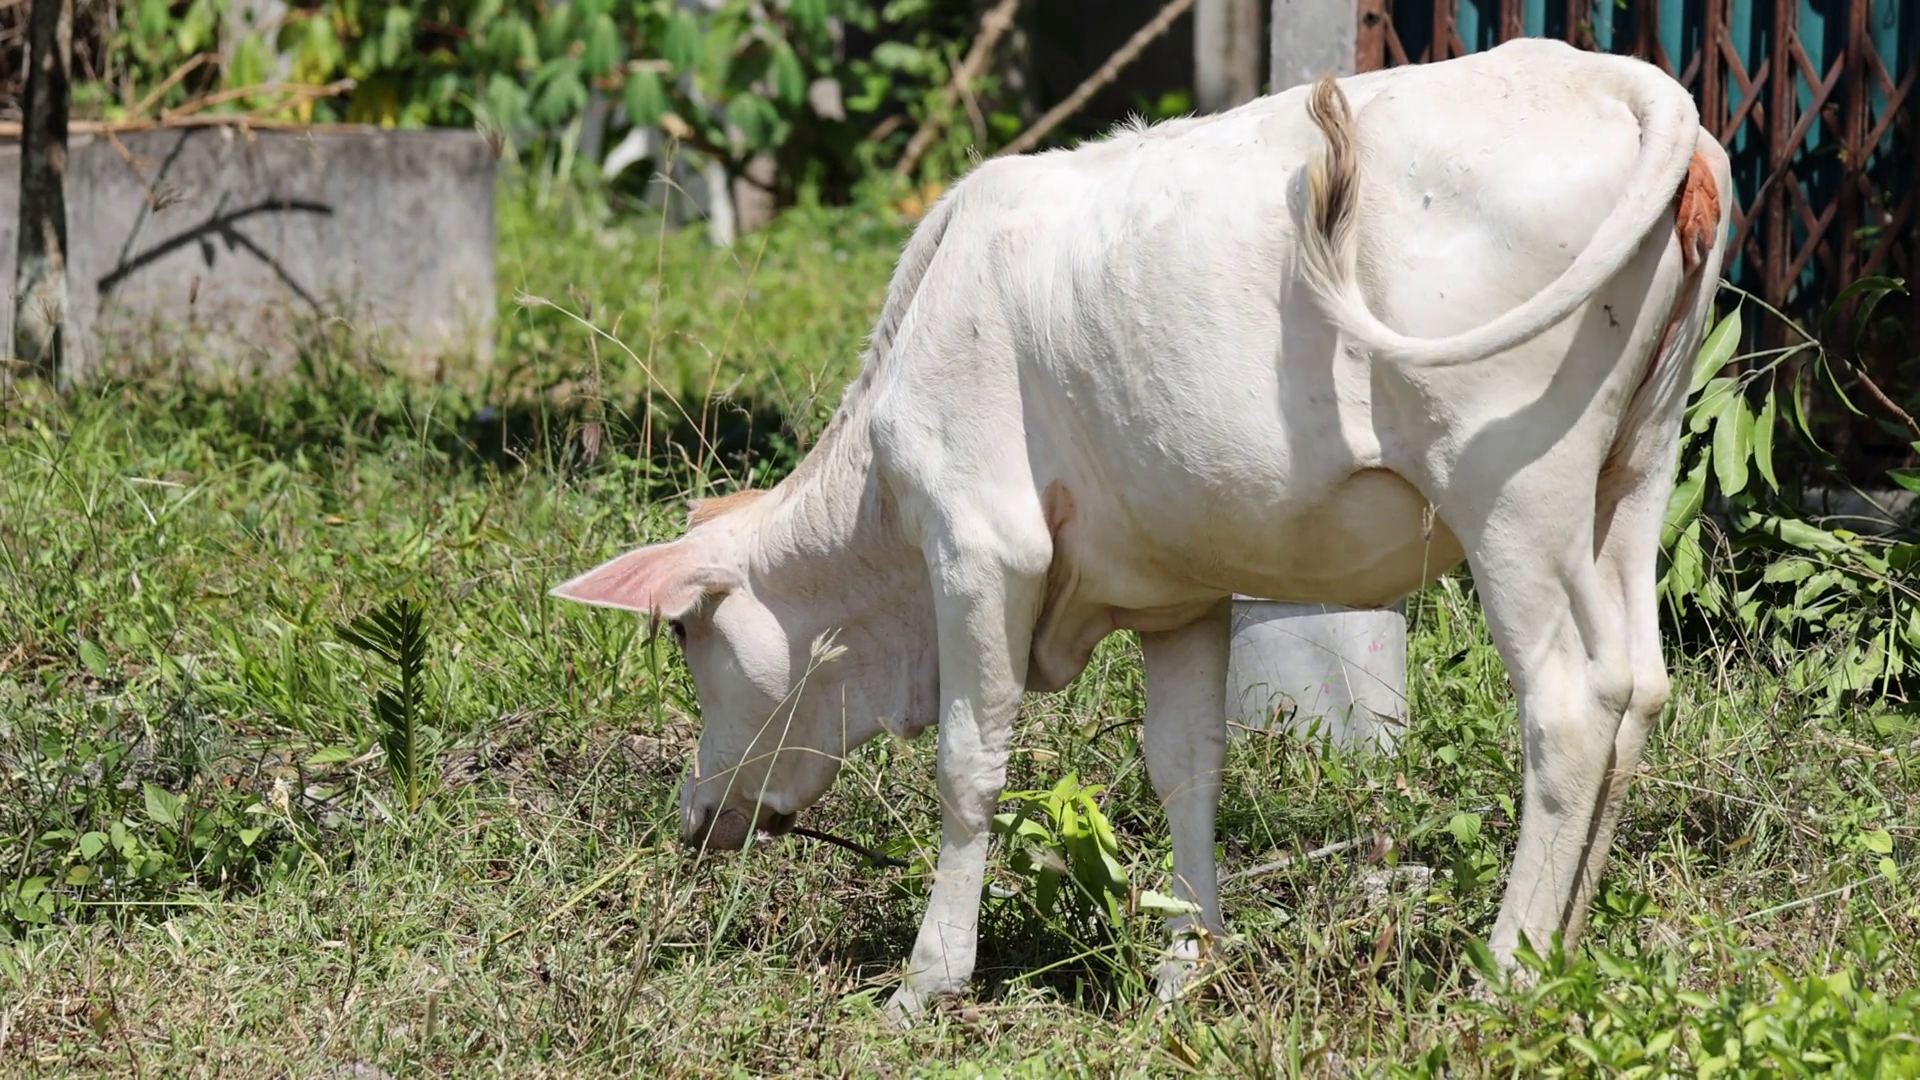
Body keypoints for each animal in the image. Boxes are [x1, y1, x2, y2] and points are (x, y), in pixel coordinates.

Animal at [552, 36, 1732, 1022]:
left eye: (683, 637)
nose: (696, 813)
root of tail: (1620, 81)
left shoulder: (981, 546)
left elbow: (968, 763)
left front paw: (928, 982)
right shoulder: (1182, 593)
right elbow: (1185, 767)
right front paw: (1184, 968)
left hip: (1509, 490)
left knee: (1570, 707)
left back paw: (1507, 974)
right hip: (1636, 469)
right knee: (1637, 686)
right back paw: (1565, 950)